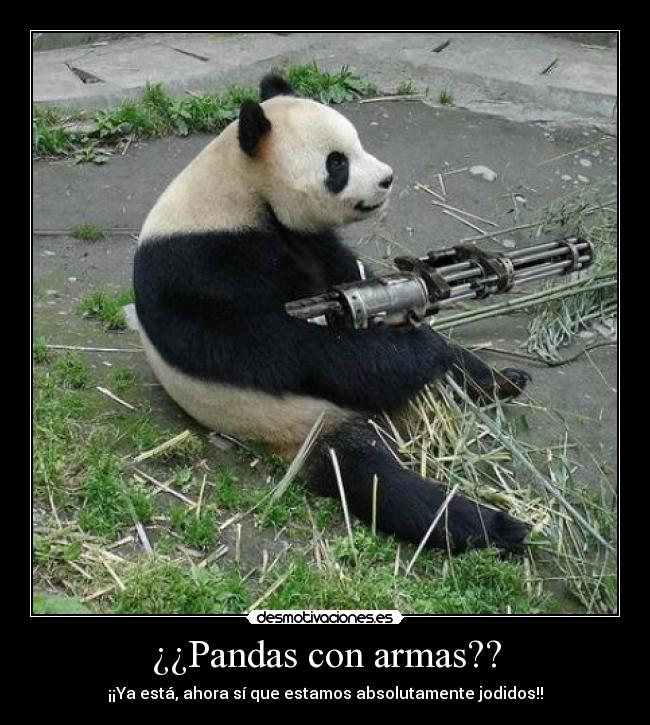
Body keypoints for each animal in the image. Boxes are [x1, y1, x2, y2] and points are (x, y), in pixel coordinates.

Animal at [134, 73, 531, 554]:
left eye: (357, 144)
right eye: (337, 163)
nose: (387, 179)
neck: (238, 191)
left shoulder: (308, 242)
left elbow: (348, 277)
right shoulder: (200, 267)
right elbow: (282, 349)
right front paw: (413, 347)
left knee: (453, 362)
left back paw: (502, 381)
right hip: (300, 423)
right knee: (373, 477)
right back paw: (495, 525)